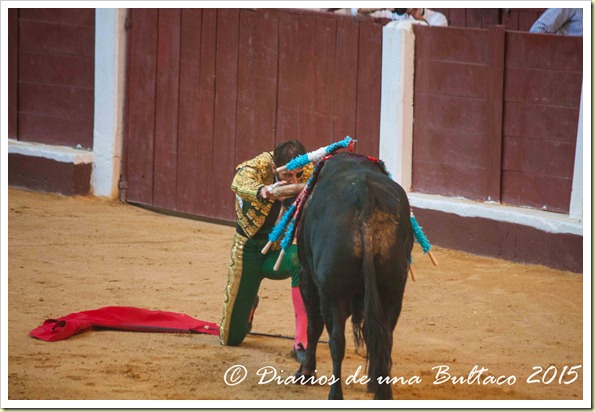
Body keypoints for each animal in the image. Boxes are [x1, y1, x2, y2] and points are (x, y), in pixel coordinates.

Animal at [296, 152, 414, 400]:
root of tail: (366, 197)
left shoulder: (307, 277)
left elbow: (313, 325)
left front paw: (306, 371)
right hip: (393, 290)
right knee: (384, 338)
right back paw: (382, 390)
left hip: (333, 293)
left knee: (336, 340)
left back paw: (335, 394)